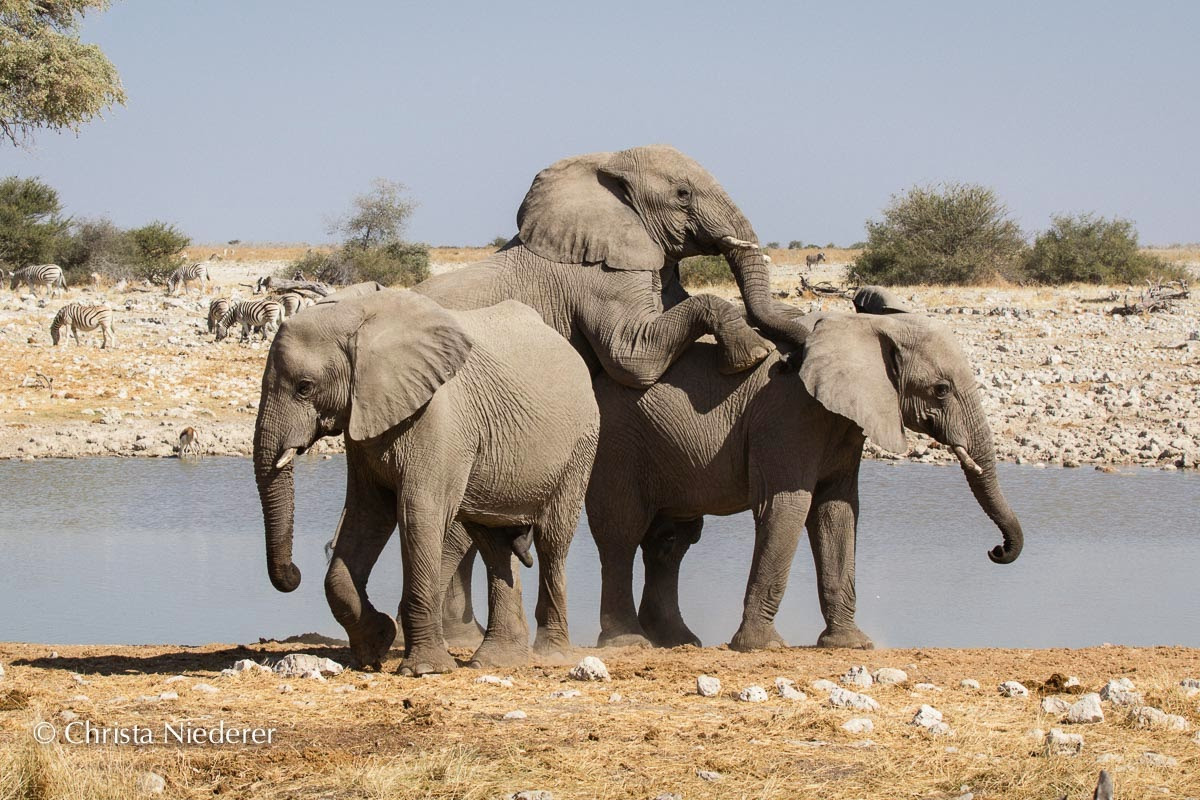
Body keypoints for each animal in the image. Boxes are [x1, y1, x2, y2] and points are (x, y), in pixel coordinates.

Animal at [250, 287, 597, 676]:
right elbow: (367, 514)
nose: (295, 573)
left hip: (581, 442)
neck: (361, 317)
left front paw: (424, 669)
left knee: (553, 540)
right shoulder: (365, 416)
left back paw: (552, 653)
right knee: (494, 543)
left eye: (304, 388)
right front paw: (376, 646)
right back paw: (496, 660)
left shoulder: (437, 416)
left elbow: (418, 513)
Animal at [580, 307, 1022, 652]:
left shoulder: (843, 423)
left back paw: (675, 641)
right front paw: (761, 647)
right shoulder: (789, 417)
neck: (864, 327)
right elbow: (788, 506)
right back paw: (629, 642)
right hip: (615, 446)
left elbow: (837, 512)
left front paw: (850, 645)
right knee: (621, 534)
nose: (997, 550)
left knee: (670, 541)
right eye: (941, 390)